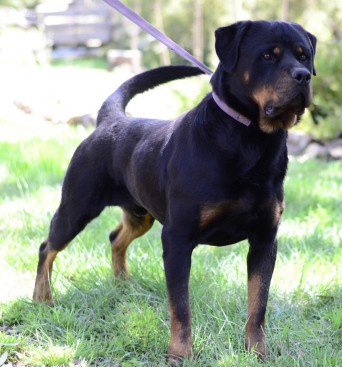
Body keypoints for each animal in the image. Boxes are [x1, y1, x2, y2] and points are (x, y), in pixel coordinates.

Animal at [33, 21, 316, 364]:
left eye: (304, 55)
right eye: (268, 56)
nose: (303, 75)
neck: (249, 138)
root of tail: (110, 120)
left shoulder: (264, 240)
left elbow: (257, 305)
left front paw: (258, 352)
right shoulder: (177, 239)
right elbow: (181, 308)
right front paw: (180, 355)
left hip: (141, 214)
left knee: (115, 237)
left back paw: (123, 283)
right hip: (77, 207)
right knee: (48, 246)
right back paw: (42, 297)